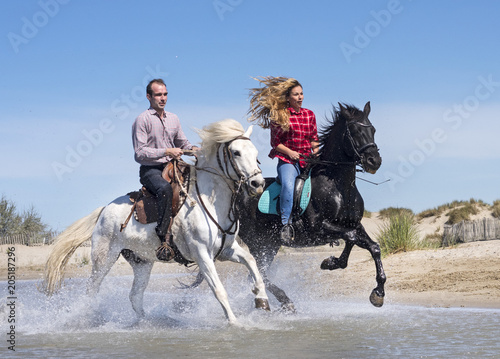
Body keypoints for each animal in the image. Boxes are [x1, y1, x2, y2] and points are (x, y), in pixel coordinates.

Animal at [42, 119, 270, 324]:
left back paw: (148, 322)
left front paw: (261, 299)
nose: (257, 183)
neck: (209, 200)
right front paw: (234, 322)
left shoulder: (227, 250)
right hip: (103, 259)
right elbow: (219, 290)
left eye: (255, 153)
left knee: (135, 296)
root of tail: (104, 210)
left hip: (141, 261)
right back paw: (90, 319)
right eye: (236, 152)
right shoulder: (202, 254)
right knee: (92, 291)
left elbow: (252, 263)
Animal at [236, 102, 384, 312]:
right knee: (259, 275)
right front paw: (331, 262)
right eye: (355, 131)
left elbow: (372, 246)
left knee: (257, 275)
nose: (374, 161)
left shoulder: (355, 224)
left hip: (270, 244)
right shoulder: (317, 228)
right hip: (258, 243)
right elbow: (351, 237)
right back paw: (286, 301)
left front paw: (378, 293)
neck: (339, 187)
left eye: (373, 130)